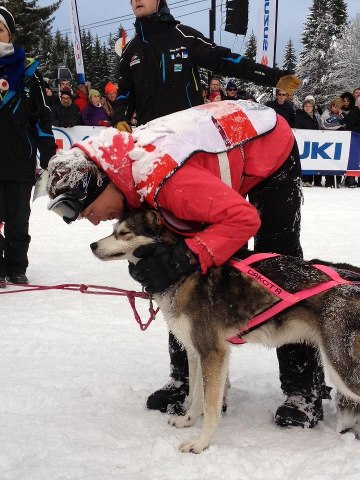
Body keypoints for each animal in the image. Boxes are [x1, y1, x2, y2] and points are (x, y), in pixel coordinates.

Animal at [91, 210, 360, 454]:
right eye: (113, 230)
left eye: (124, 233)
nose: (93, 245)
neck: (183, 272)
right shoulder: (196, 353)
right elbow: (195, 395)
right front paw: (187, 421)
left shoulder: (213, 352)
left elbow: (210, 407)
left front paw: (200, 443)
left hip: (342, 367)